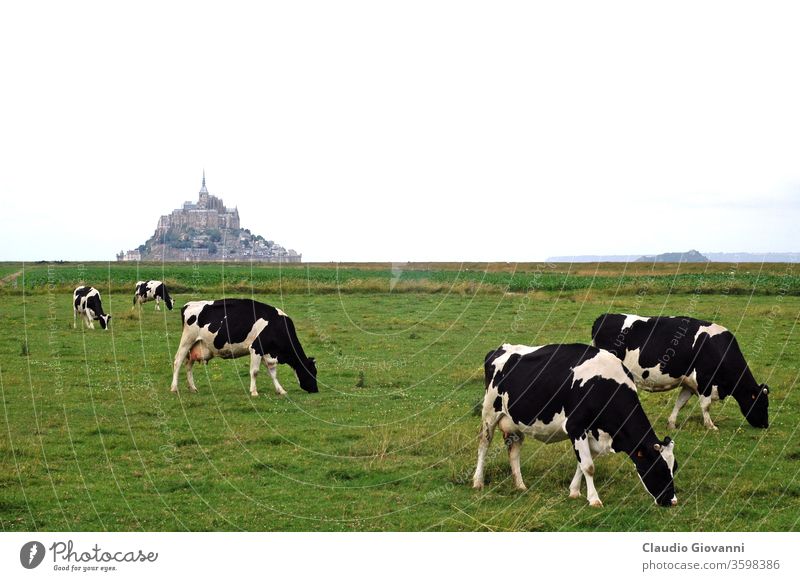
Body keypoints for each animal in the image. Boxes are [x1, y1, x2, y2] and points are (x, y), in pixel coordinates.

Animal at [170, 300, 318, 394]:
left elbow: (273, 373)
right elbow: (255, 371)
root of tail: (189, 304)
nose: (315, 390)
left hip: (195, 346)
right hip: (187, 340)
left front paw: (280, 390)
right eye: (313, 372)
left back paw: (193, 388)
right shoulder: (256, 349)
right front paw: (254, 392)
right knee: (178, 361)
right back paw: (174, 388)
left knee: (188, 365)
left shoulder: (267, 353)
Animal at [472, 342, 680, 506]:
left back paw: (520, 485)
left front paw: (574, 492)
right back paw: (478, 481)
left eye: (674, 467)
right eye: (658, 468)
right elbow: (588, 466)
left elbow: (582, 464)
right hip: (489, 412)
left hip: (514, 422)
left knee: (514, 451)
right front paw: (594, 499)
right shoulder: (576, 427)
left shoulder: (593, 434)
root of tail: (500, 348)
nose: (672, 501)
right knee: (484, 444)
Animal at [592, 312, 768, 430]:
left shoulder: (689, 384)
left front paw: (671, 424)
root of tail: (603, 317)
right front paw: (711, 426)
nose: (765, 425)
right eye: (762, 403)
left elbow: (680, 403)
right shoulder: (704, 380)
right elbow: (706, 405)